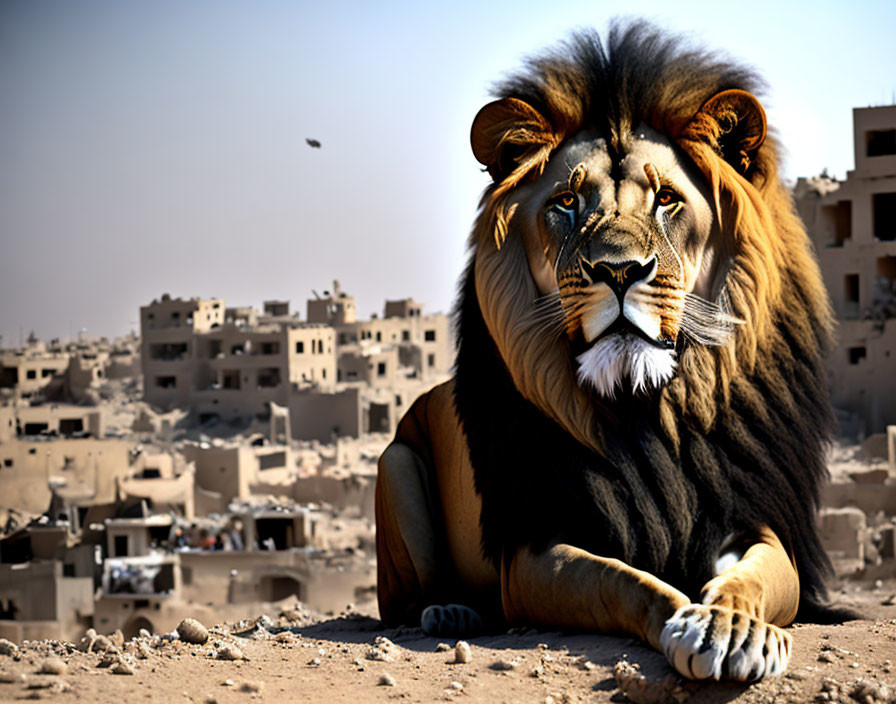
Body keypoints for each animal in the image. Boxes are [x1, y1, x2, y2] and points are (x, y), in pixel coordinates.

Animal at [374, 23, 852, 680]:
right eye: (567, 203)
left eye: (667, 199)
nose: (619, 271)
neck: (643, 407)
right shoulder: (534, 548)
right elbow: (627, 583)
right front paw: (690, 623)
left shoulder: (755, 516)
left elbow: (749, 581)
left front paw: (730, 626)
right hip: (395, 463)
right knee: (404, 599)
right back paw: (451, 610)